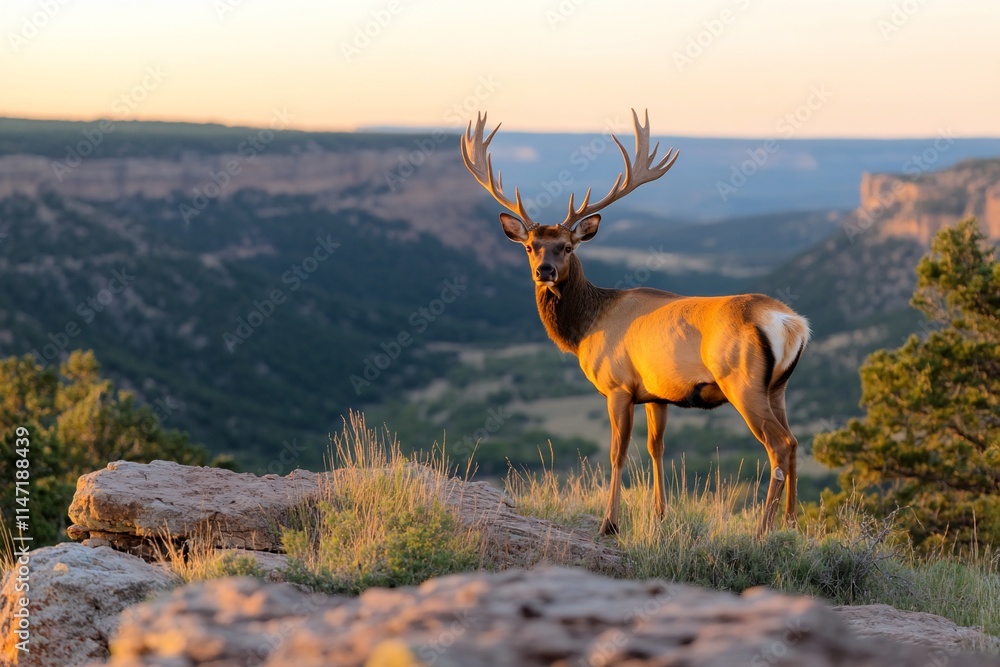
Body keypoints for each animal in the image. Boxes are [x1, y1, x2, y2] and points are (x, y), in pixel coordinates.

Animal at [460, 109, 811, 537]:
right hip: (778, 387)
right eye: (530, 246)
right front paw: (660, 515)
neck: (586, 328)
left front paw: (609, 522)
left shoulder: (618, 385)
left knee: (778, 445)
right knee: (794, 442)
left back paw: (763, 529)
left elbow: (617, 453)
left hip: (741, 380)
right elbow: (656, 448)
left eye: (567, 247)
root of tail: (792, 323)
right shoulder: (658, 393)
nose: (545, 271)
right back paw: (792, 523)